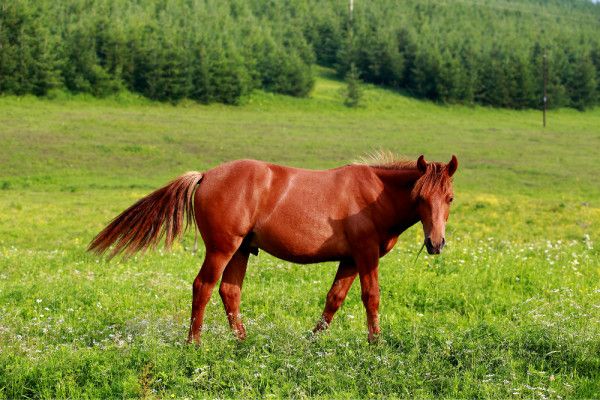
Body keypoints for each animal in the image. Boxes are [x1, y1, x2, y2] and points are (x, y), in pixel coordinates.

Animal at [88, 155, 460, 342]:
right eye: (419, 197)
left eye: (450, 198)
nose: (435, 243)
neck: (374, 195)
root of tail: (206, 175)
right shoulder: (365, 254)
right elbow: (371, 298)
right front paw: (375, 344)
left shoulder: (350, 259)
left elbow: (335, 298)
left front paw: (313, 340)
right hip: (222, 248)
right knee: (203, 286)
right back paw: (194, 342)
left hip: (241, 250)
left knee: (229, 291)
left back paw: (242, 341)